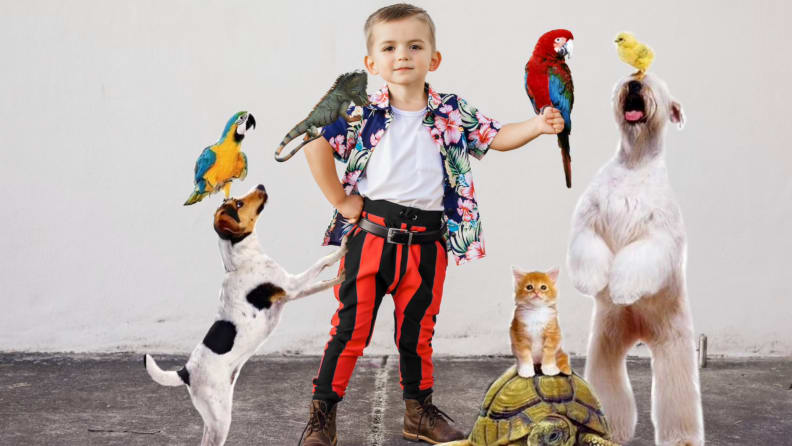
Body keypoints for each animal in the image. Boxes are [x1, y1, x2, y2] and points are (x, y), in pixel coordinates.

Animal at [143, 185, 346, 446]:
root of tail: (186, 371)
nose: (260, 185)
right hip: (220, 419)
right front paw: (344, 248)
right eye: (238, 204)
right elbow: (321, 263)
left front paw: (340, 277)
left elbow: (321, 281)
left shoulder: (292, 293)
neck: (240, 259)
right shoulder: (292, 285)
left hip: (213, 416)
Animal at [568, 74, 704, 446]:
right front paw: (594, 280)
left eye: (654, 82)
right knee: (608, 381)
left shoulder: (659, 235)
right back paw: (609, 428)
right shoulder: (588, 220)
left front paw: (622, 289)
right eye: (630, 77)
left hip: (673, 346)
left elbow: (638, 256)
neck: (635, 161)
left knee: (678, 394)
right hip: (606, 343)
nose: (635, 84)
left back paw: (681, 437)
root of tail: (639, 330)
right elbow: (590, 245)